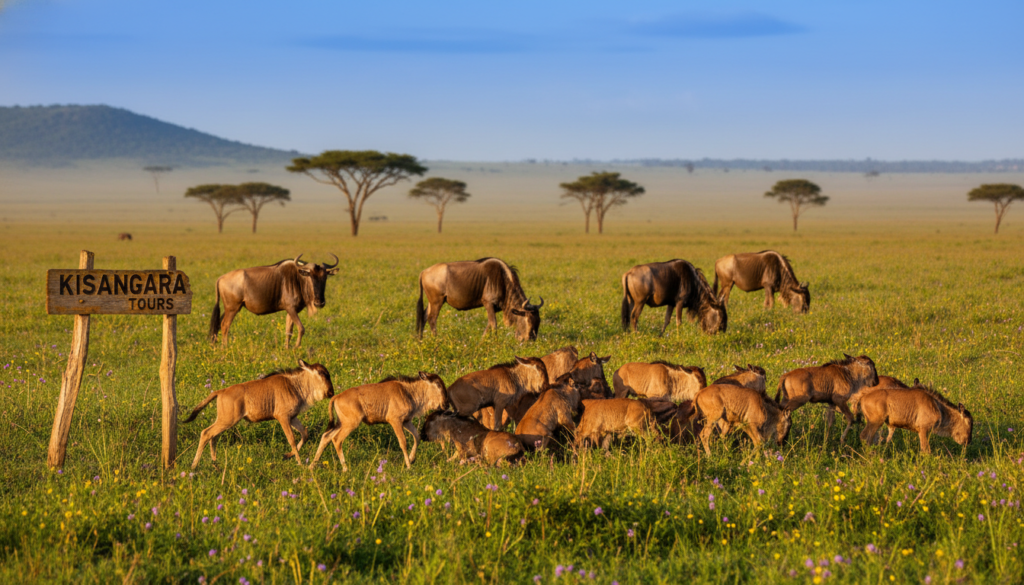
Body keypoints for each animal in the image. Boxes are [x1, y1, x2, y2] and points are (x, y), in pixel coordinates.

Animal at [209, 254, 338, 348]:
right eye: (310, 276)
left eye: (325, 277)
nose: (319, 302)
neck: (298, 278)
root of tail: (220, 278)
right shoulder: (291, 308)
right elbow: (301, 328)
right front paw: (296, 347)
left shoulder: (291, 310)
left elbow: (289, 330)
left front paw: (287, 348)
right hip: (232, 308)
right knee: (225, 325)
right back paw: (225, 347)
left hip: (231, 308)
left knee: (219, 323)